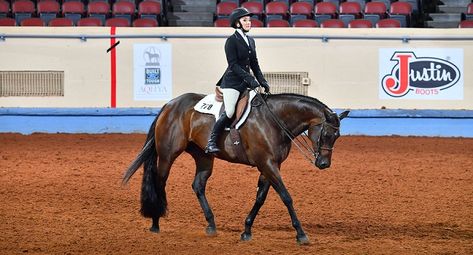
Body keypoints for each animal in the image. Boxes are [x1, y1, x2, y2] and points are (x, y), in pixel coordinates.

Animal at [123, 92, 348, 244]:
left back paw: (211, 225)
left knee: (198, 186)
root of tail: (170, 104)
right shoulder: (267, 163)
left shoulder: (270, 165)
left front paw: (246, 230)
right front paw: (301, 234)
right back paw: (155, 223)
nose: (324, 164)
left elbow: (260, 198)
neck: (274, 120)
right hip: (167, 155)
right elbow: (286, 196)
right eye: (326, 134)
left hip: (204, 157)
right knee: (160, 182)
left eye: (337, 136)